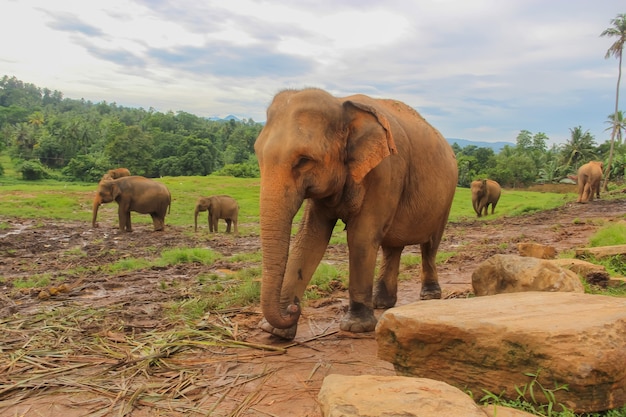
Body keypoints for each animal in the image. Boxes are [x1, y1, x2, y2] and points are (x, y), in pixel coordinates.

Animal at [251, 88, 456, 338]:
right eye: (258, 156)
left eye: (304, 160)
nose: (293, 308)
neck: (341, 105)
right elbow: (310, 238)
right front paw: (275, 331)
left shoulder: (385, 171)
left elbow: (361, 237)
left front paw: (356, 326)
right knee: (392, 246)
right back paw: (381, 302)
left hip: (446, 197)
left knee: (430, 244)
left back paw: (429, 296)